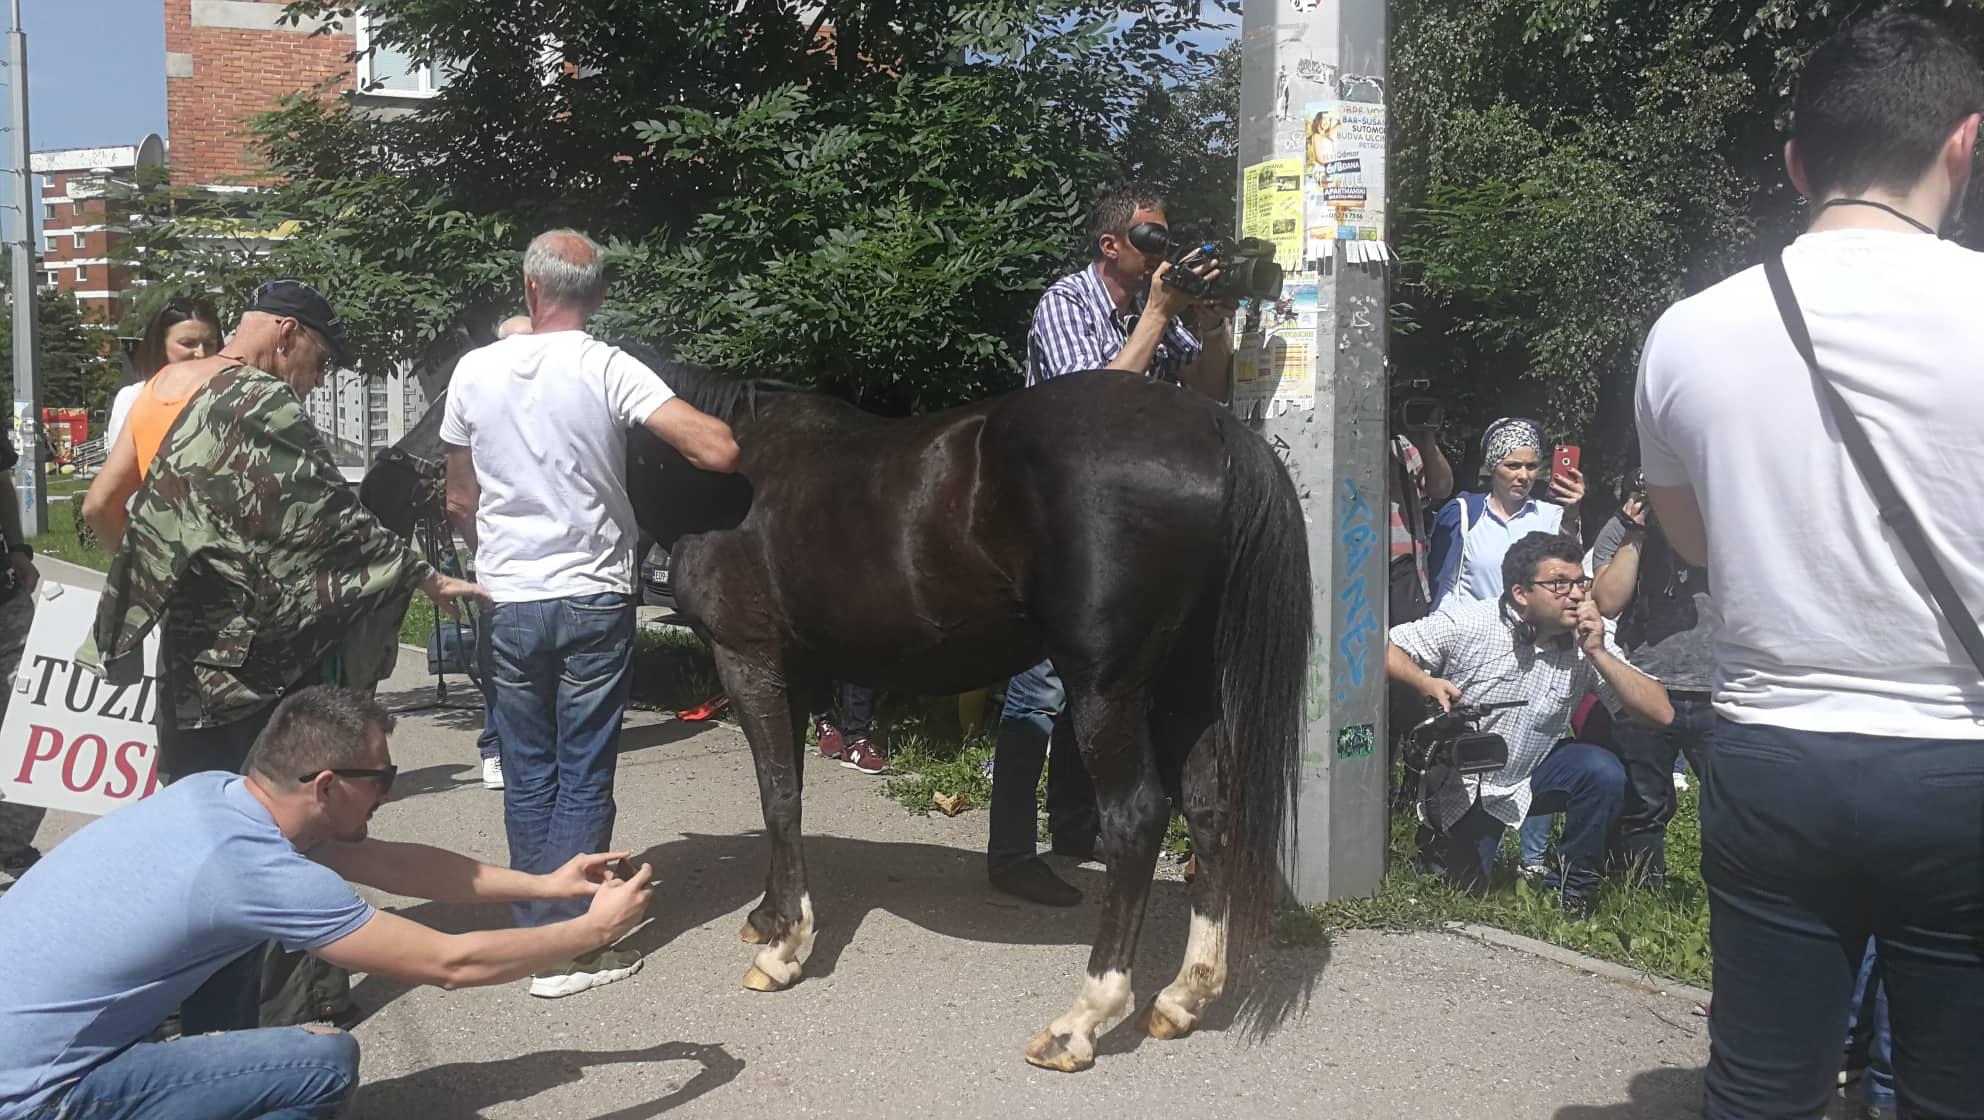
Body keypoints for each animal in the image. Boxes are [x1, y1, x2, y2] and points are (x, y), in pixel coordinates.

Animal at [626, 352, 1309, 1070]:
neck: (729, 465)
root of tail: (1215, 428)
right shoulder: (797, 674)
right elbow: (787, 792)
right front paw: (769, 916)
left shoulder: (748, 660)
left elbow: (778, 796)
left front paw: (784, 949)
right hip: (1188, 687)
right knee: (1210, 810)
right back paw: (1185, 995)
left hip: (1108, 689)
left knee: (1137, 817)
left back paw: (1082, 1020)